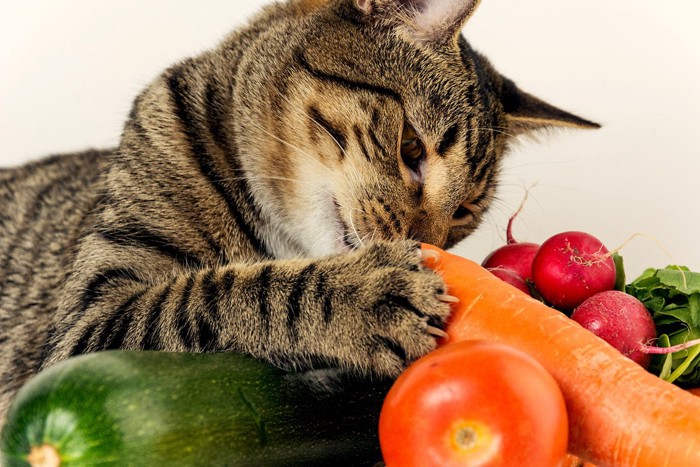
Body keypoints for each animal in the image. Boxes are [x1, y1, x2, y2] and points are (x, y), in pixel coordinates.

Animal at [0, 0, 600, 424]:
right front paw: (363, 297)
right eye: (410, 148)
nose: (425, 242)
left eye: (466, 211)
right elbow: (222, 292)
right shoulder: (90, 320)